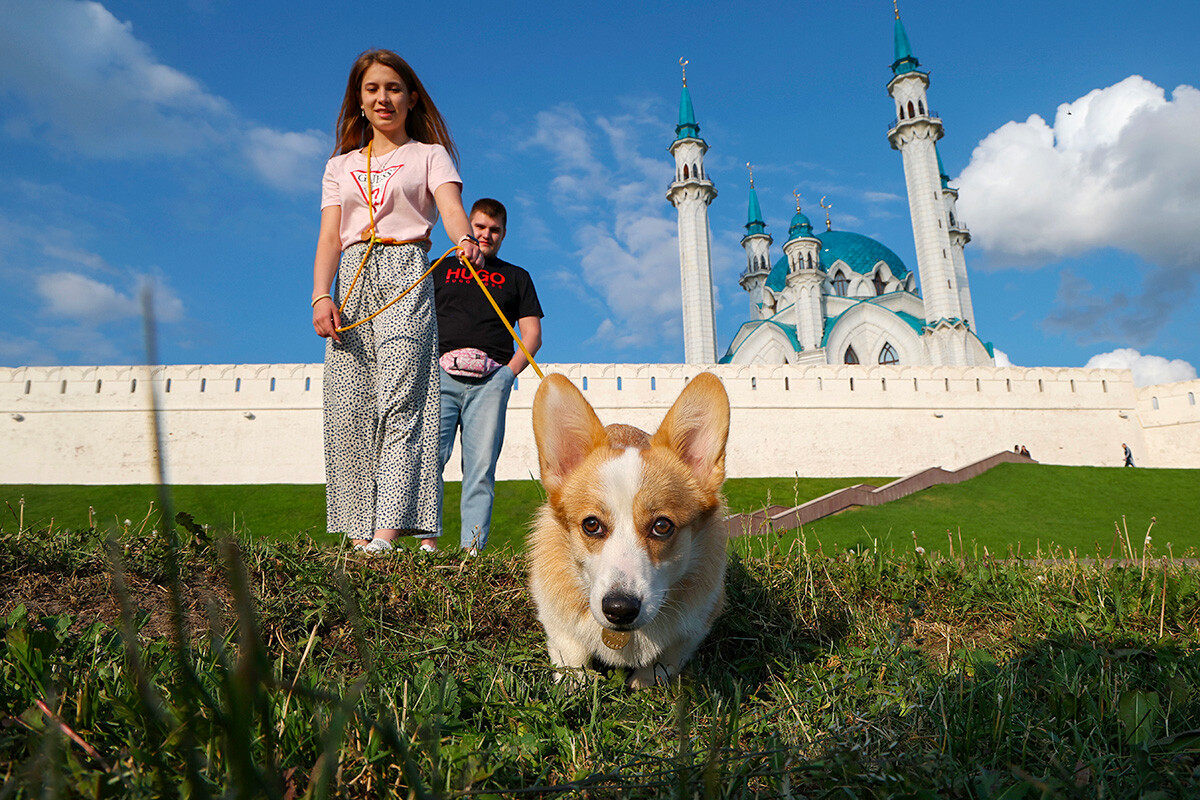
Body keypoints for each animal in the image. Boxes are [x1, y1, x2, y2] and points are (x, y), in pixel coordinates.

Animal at [528, 371, 729, 686]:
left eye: (662, 526)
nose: (619, 610)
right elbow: (571, 652)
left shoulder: (696, 624)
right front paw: (575, 683)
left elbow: (667, 659)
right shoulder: (557, 621)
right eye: (591, 524)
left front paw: (646, 682)